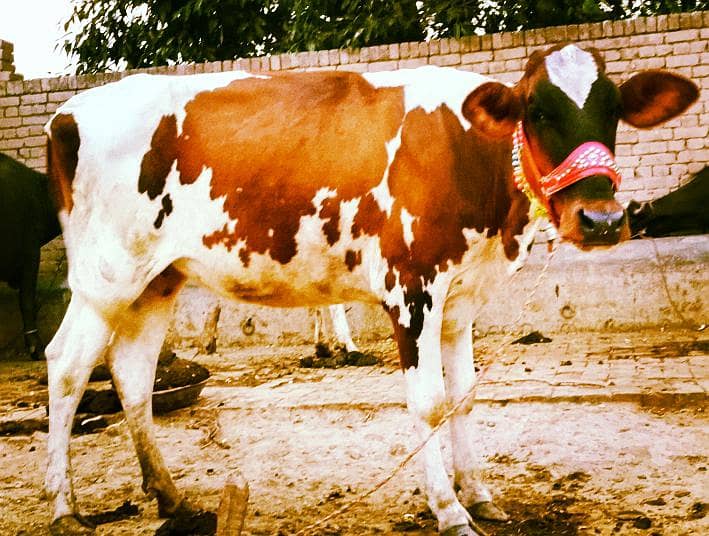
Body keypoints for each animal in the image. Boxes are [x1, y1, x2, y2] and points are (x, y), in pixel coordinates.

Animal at [43, 44, 697, 535]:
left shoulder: (460, 301)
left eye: (614, 108)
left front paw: (480, 495)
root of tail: (69, 111)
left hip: (157, 278)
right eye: (536, 110)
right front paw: (449, 510)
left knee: (131, 373)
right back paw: (65, 508)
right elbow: (428, 401)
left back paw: (173, 498)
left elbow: (463, 396)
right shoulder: (412, 290)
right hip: (104, 275)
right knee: (68, 365)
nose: (603, 220)